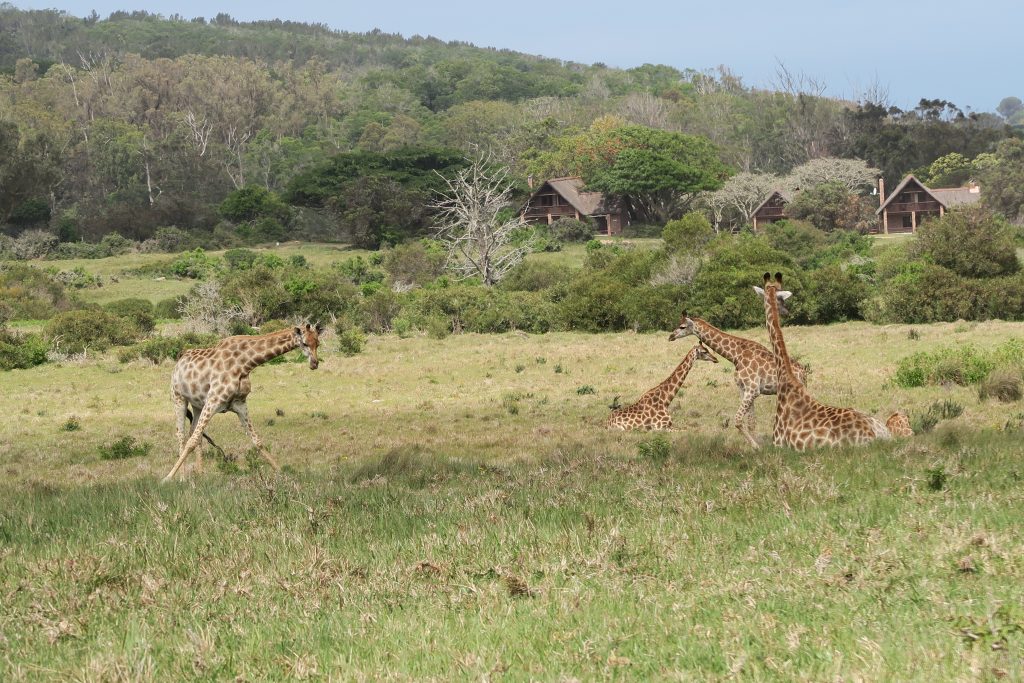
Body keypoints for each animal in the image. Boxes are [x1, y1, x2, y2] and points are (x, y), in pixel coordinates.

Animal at [161, 325, 321, 481]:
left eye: (317, 343)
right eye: (305, 343)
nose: (314, 364)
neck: (245, 364)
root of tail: (180, 358)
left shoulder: (240, 404)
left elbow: (257, 441)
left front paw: (281, 472)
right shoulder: (213, 400)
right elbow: (191, 442)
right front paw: (167, 478)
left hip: (197, 404)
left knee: (195, 433)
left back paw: (200, 475)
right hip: (178, 397)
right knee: (182, 435)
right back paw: (182, 478)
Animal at [671, 311, 806, 448]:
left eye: (682, 326)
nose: (671, 336)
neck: (735, 355)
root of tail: (803, 372)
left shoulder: (752, 390)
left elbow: (738, 420)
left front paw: (756, 446)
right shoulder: (744, 389)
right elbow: (751, 422)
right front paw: (757, 446)